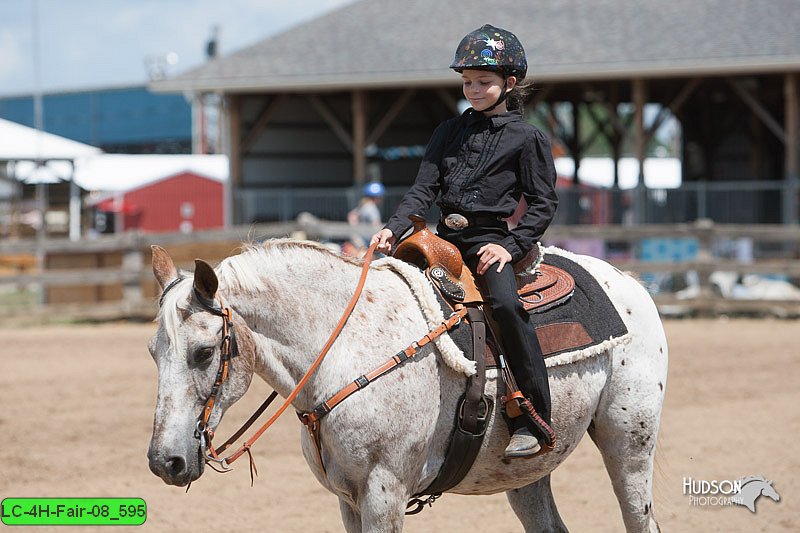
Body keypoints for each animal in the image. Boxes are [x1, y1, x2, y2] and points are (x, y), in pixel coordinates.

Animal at [147, 239, 664, 528]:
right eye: (154, 352)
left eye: (204, 352)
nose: (164, 461)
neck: (348, 348)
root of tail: (627, 281)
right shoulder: (348, 500)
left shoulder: (385, 492)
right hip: (525, 474)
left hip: (629, 442)